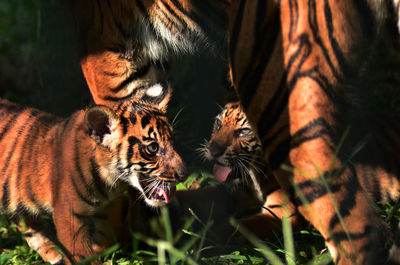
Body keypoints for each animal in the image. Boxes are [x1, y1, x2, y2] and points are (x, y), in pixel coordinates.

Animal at [0, 98, 187, 262]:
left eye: (173, 141)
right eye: (153, 148)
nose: (183, 174)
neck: (109, 180)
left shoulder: (111, 204)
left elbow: (109, 235)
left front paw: (100, 250)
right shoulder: (68, 214)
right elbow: (81, 253)